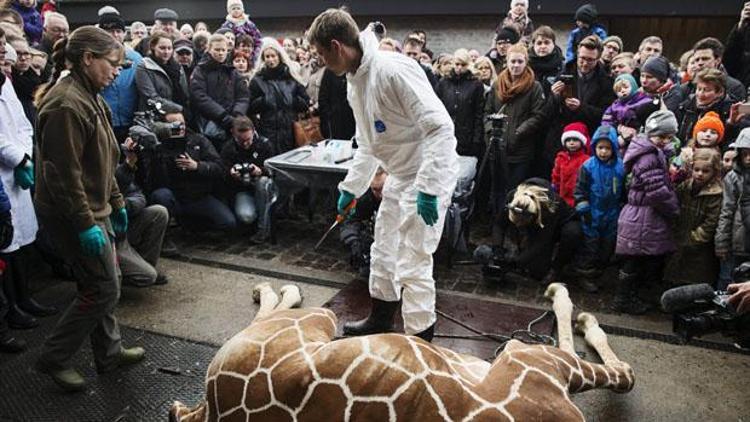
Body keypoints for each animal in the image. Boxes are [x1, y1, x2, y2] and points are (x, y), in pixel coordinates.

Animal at [169, 280, 636, 422]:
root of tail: (210, 407)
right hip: (318, 321)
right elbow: (623, 374)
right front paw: (573, 305)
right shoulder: (533, 360)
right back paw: (273, 286)